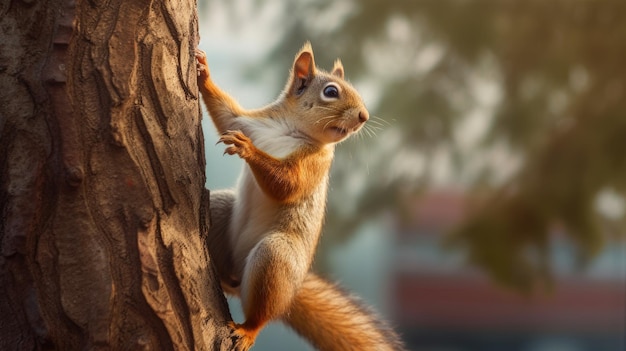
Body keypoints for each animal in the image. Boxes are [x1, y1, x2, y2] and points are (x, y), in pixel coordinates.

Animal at [193, 42, 404, 351]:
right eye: (331, 91)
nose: (363, 117)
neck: (289, 129)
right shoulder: (248, 123)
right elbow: (225, 114)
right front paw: (203, 74)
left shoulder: (314, 164)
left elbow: (288, 185)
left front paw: (248, 150)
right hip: (221, 209)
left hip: (275, 257)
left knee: (262, 313)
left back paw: (248, 330)